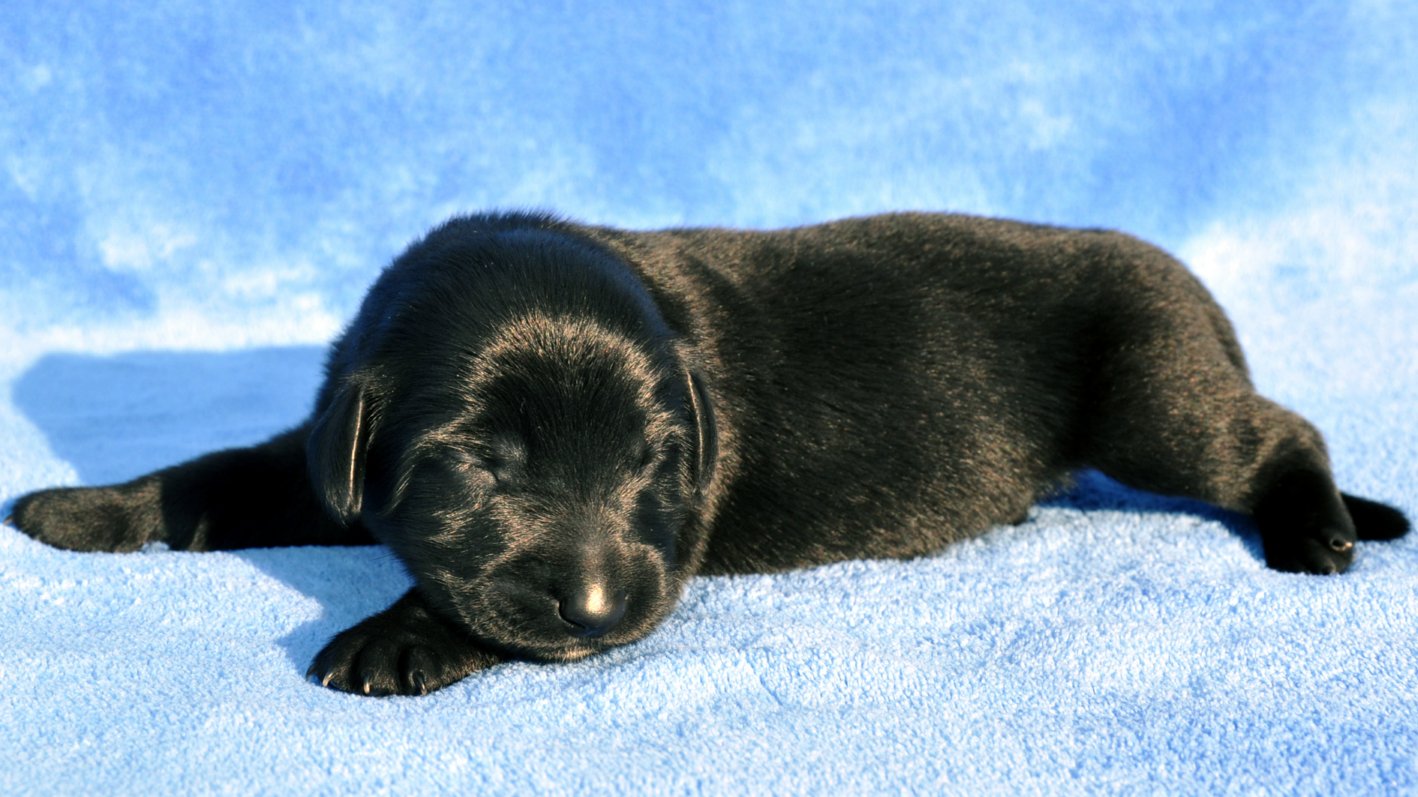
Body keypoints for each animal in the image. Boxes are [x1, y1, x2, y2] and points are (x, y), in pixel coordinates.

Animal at [10, 211, 1410, 696]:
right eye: (485, 463)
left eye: (653, 461)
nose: (595, 603)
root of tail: (1194, 294)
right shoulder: (325, 452)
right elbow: (222, 473)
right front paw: (80, 507)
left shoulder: (665, 535)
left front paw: (398, 636)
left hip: (1154, 390)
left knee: (1275, 432)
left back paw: (1320, 524)